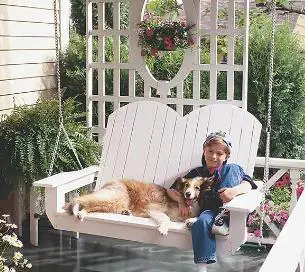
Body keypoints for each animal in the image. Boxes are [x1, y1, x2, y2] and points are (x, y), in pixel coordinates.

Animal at [64, 177, 213, 235]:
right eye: (186, 185)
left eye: (197, 187)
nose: (188, 194)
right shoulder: (154, 209)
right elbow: (166, 219)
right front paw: (163, 229)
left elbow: (197, 217)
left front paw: (190, 221)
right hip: (114, 197)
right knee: (83, 199)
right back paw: (77, 210)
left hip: (114, 203)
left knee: (92, 205)